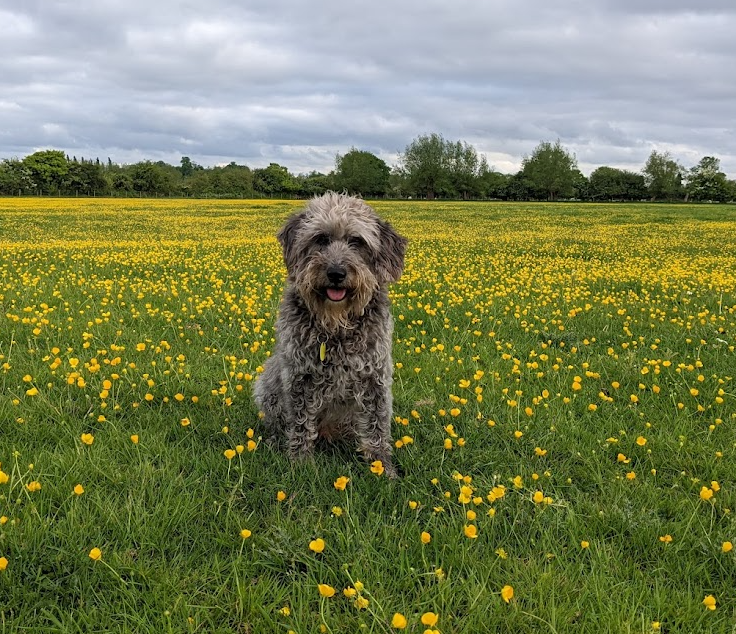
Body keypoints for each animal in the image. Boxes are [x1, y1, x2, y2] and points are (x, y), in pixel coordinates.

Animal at [256, 190, 408, 476]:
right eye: (321, 239)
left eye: (356, 241)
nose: (336, 272)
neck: (336, 326)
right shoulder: (299, 378)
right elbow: (301, 425)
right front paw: (301, 464)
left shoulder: (375, 378)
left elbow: (377, 426)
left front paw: (382, 467)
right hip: (266, 383)